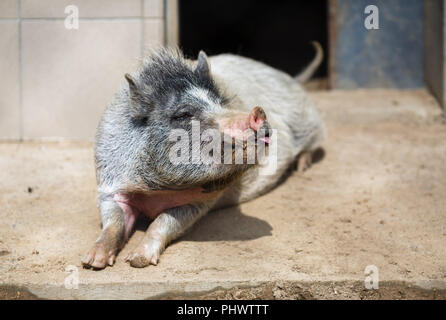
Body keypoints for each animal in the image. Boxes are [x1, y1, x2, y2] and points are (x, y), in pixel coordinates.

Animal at [81, 42, 324, 268]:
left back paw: (302, 167)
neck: (154, 189)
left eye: (220, 103)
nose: (258, 113)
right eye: (184, 114)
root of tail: (288, 77)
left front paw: (138, 260)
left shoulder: (199, 203)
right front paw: (92, 262)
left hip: (311, 121)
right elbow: (114, 222)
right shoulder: (108, 186)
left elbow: (161, 222)